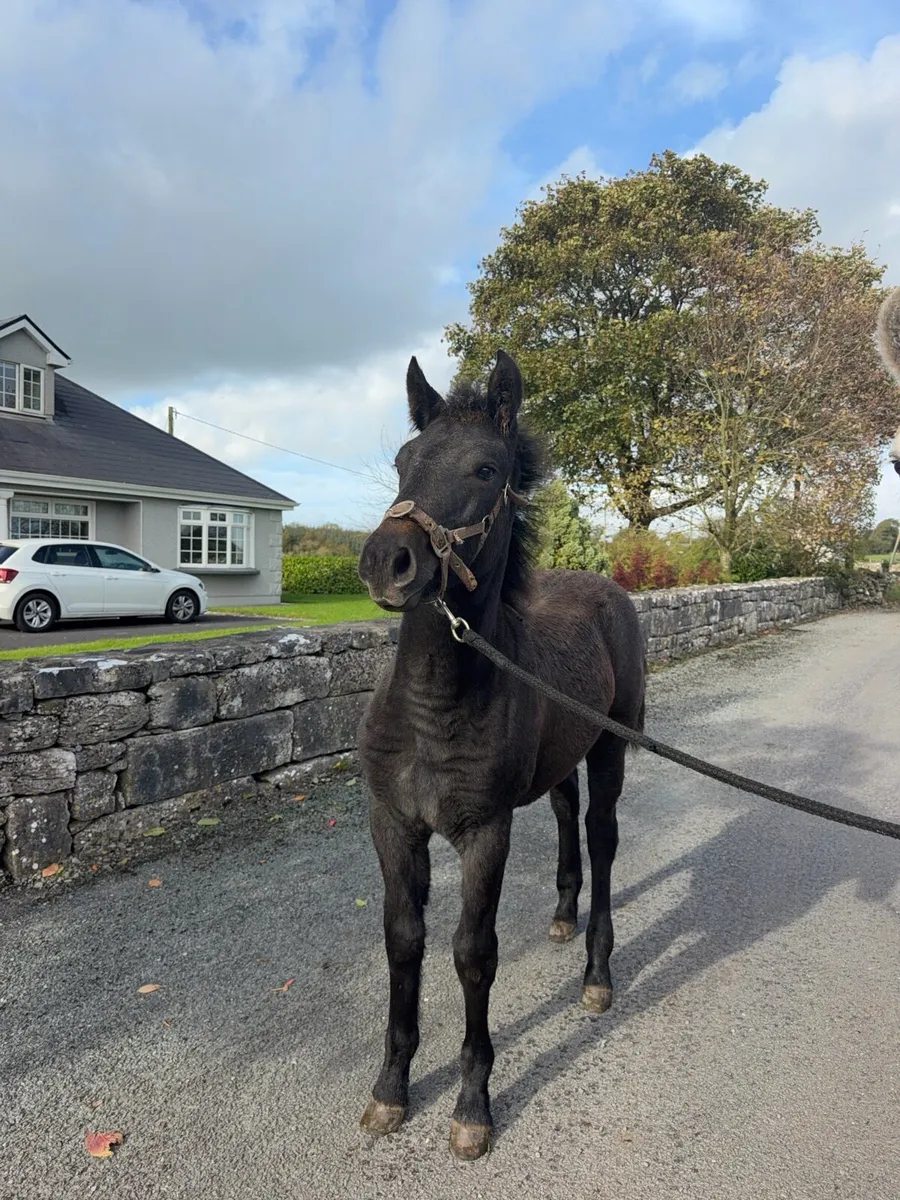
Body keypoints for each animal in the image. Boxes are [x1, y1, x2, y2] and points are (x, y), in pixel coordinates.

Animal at [356, 350, 646, 1160]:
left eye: (486, 469)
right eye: (403, 461)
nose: (386, 561)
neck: (432, 707)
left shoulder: (485, 831)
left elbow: (471, 953)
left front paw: (472, 1105)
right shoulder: (393, 823)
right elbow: (404, 940)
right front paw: (390, 1091)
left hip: (612, 747)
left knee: (602, 837)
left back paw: (597, 972)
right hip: (560, 760)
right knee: (567, 813)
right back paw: (562, 915)